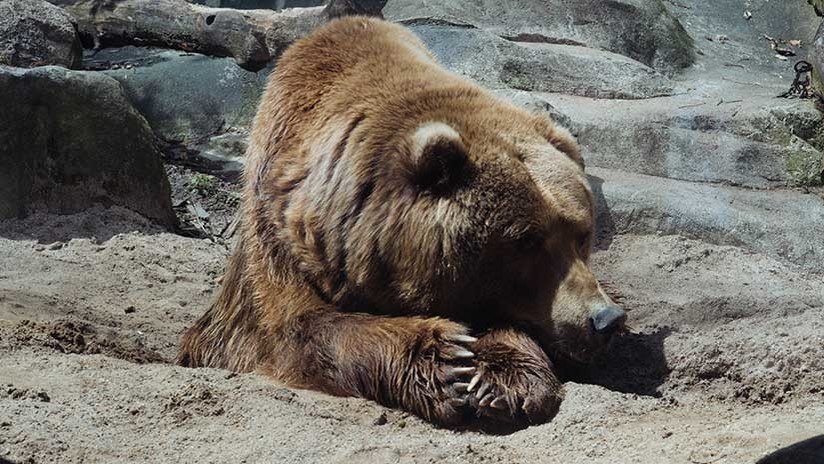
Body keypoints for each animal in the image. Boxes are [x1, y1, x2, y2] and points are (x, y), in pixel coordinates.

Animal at [179, 14, 624, 428]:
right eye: (527, 240)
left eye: (581, 234)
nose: (605, 319)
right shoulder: (280, 237)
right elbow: (293, 328)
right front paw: (447, 360)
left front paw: (502, 380)